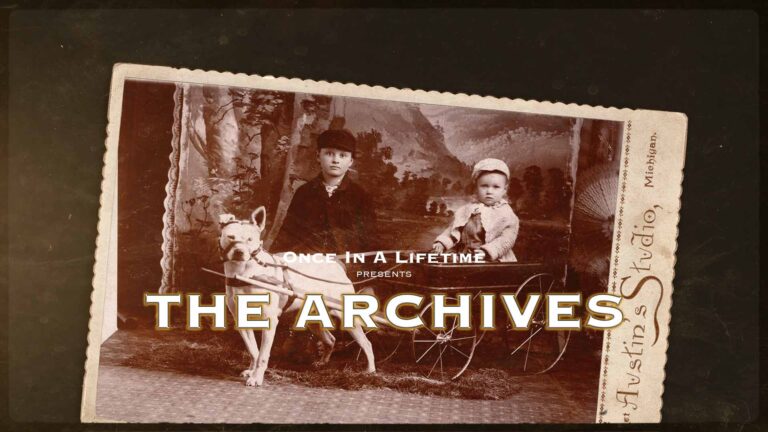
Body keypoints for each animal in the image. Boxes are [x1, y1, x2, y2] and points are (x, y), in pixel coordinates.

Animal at [219, 208, 376, 386]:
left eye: (250, 239)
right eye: (231, 237)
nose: (239, 252)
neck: (246, 273)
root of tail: (336, 265)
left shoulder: (269, 321)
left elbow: (262, 355)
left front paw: (257, 378)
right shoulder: (242, 320)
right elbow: (253, 350)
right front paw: (252, 371)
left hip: (347, 317)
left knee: (366, 343)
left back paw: (370, 371)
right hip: (314, 321)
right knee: (331, 339)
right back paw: (322, 362)